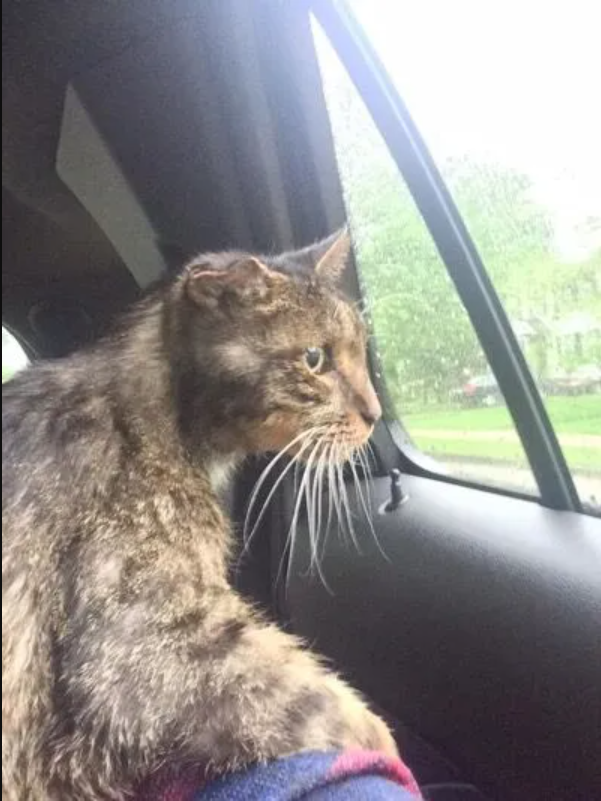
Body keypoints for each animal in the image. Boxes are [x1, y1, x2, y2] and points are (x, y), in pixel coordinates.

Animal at [1, 230, 394, 800]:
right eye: (314, 358)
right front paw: (382, 742)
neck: (158, 416)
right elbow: (314, 698)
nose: (375, 413)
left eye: (362, 350)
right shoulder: (142, 642)